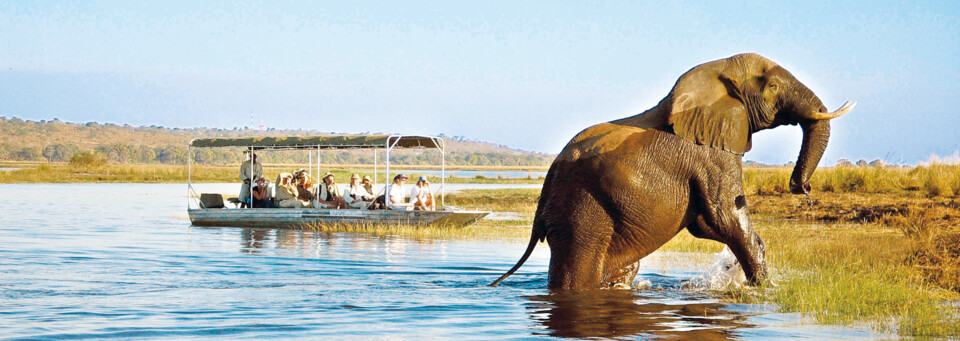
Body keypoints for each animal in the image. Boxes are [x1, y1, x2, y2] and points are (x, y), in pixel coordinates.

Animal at [496, 53, 856, 290]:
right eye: (774, 86)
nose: (802, 187)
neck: (716, 72)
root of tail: (545, 192)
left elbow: (705, 223)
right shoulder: (711, 154)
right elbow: (724, 218)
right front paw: (761, 290)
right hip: (581, 214)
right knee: (578, 273)